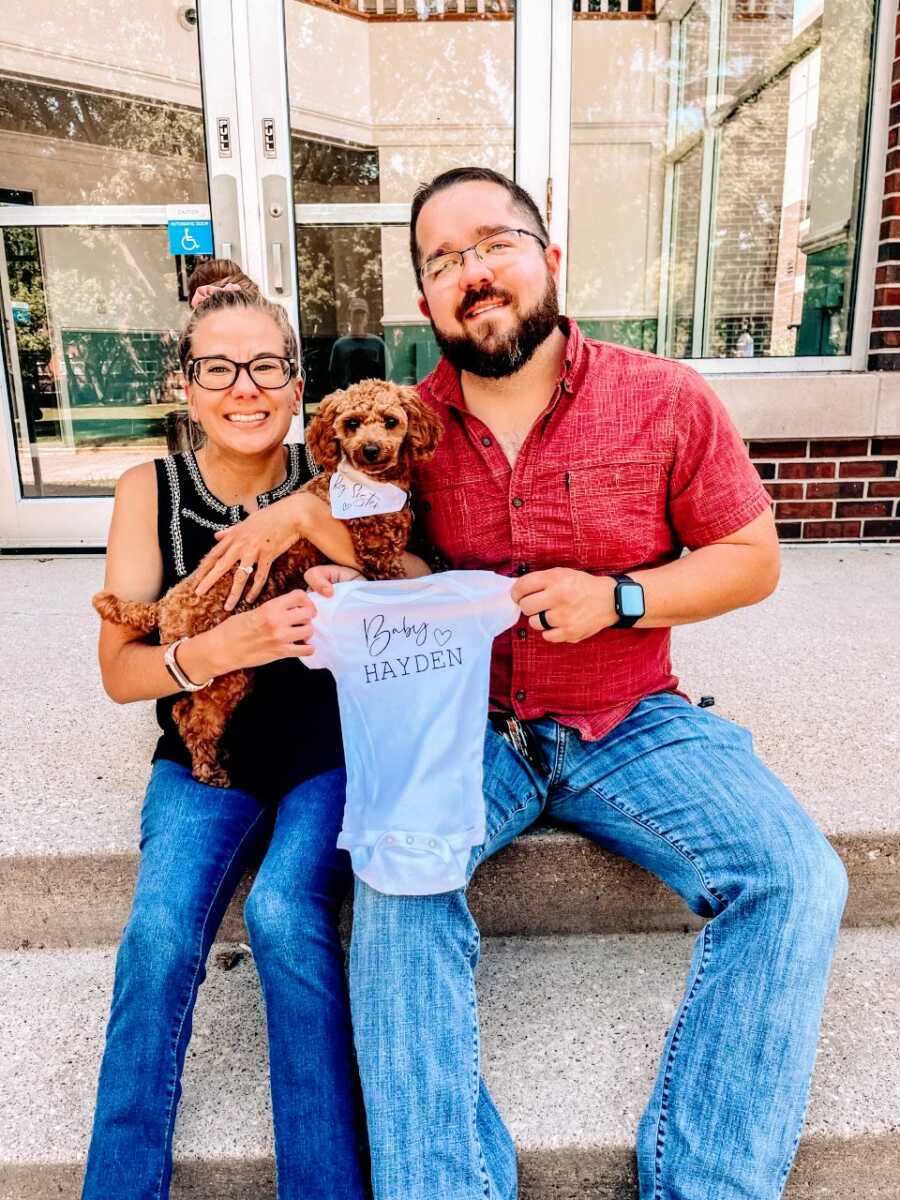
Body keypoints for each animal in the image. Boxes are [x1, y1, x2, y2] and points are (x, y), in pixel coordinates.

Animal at [93, 376, 441, 787]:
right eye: (352, 424)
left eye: (390, 421)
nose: (370, 450)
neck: (371, 488)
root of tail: (165, 605)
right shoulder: (378, 556)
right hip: (226, 669)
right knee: (195, 718)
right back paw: (209, 769)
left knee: (182, 708)